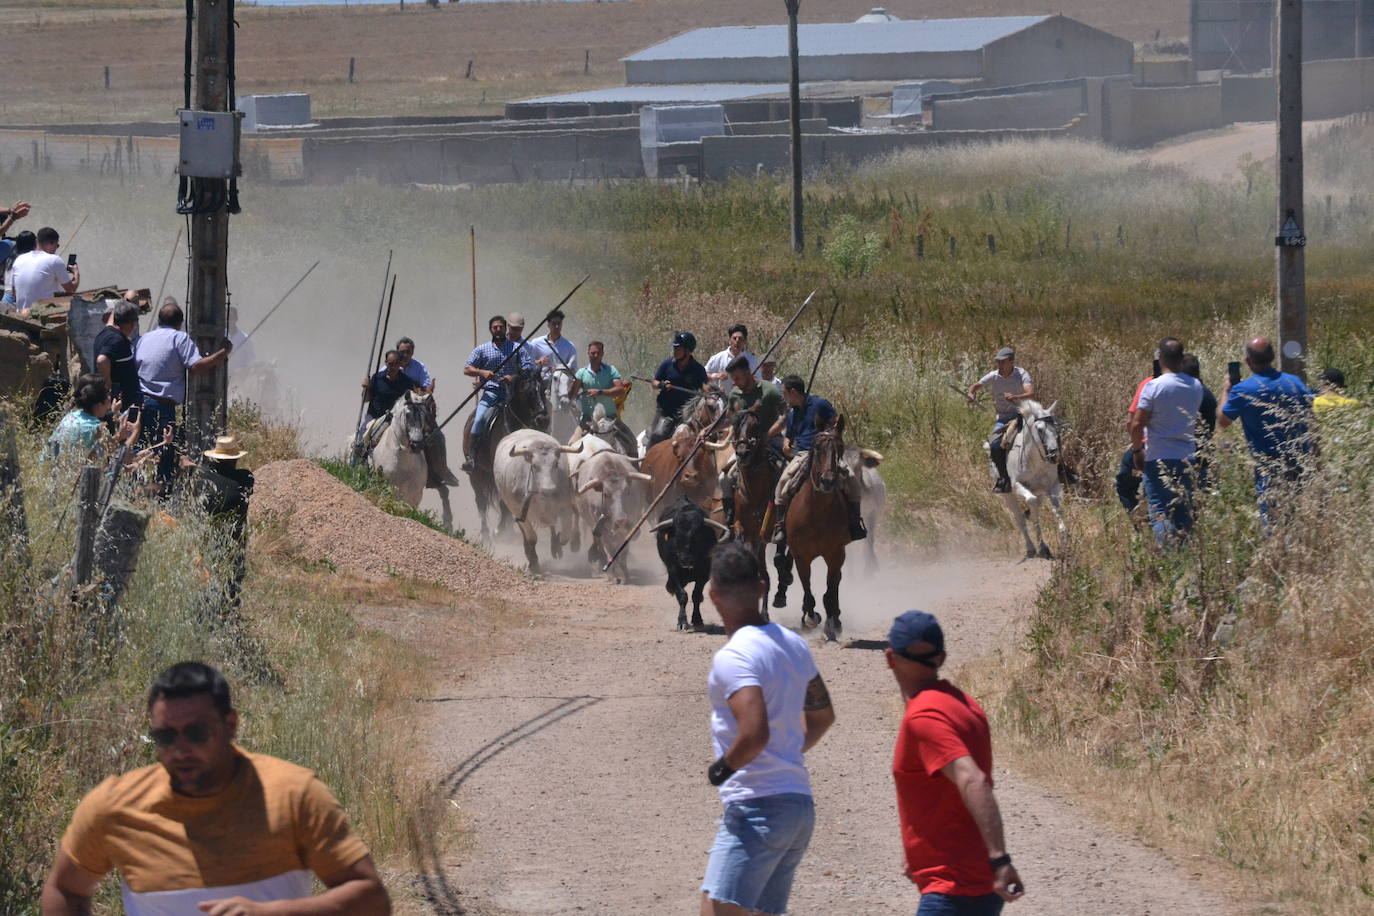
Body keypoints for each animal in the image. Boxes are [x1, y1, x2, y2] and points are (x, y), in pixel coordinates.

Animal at [461, 370, 546, 543]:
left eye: (544, 389)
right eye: (528, 392)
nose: (543, 420)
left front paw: (508, 529)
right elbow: (501, 501)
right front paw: (500, 530)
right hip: (475, 473)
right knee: (481, 501)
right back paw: (485, 534)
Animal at [494, 431, 579, 574]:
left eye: (556, 463)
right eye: (534, 465)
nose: (548, 490)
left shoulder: (565, 508)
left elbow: (565, 535)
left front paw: (557, 545)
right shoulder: (521, 513)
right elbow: (532, 538)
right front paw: (533, 563)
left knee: (552, 526)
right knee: (526, 534)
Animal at [651, 494, 730, 631]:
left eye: (696, 536)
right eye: (676, 536)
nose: (685, 559)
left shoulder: (704, 574)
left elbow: (696, 595)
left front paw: (697, 619)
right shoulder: (674, 571)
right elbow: (682, 595)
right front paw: (682, 621)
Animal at [774, 420, 846, 642]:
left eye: (841, 448)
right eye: (817, 448)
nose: (827, 481)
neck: (817, 512)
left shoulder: (835, 554)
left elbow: (831, 590)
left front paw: (832, 623)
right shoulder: (801, 555)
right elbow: (807, 588)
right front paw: (811, 617)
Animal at [1000, 398, 1071, 560]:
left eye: (1056, 427)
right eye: (1039, 429)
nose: (1054, 454)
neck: (1034, 460)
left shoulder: (1052, 486)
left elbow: (1057, 509)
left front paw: (1065, 535)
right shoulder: (1017, 485)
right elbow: (1032, 506)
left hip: (1039, 492)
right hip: (1009, 497)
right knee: (1021, 520)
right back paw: (1032, 548)